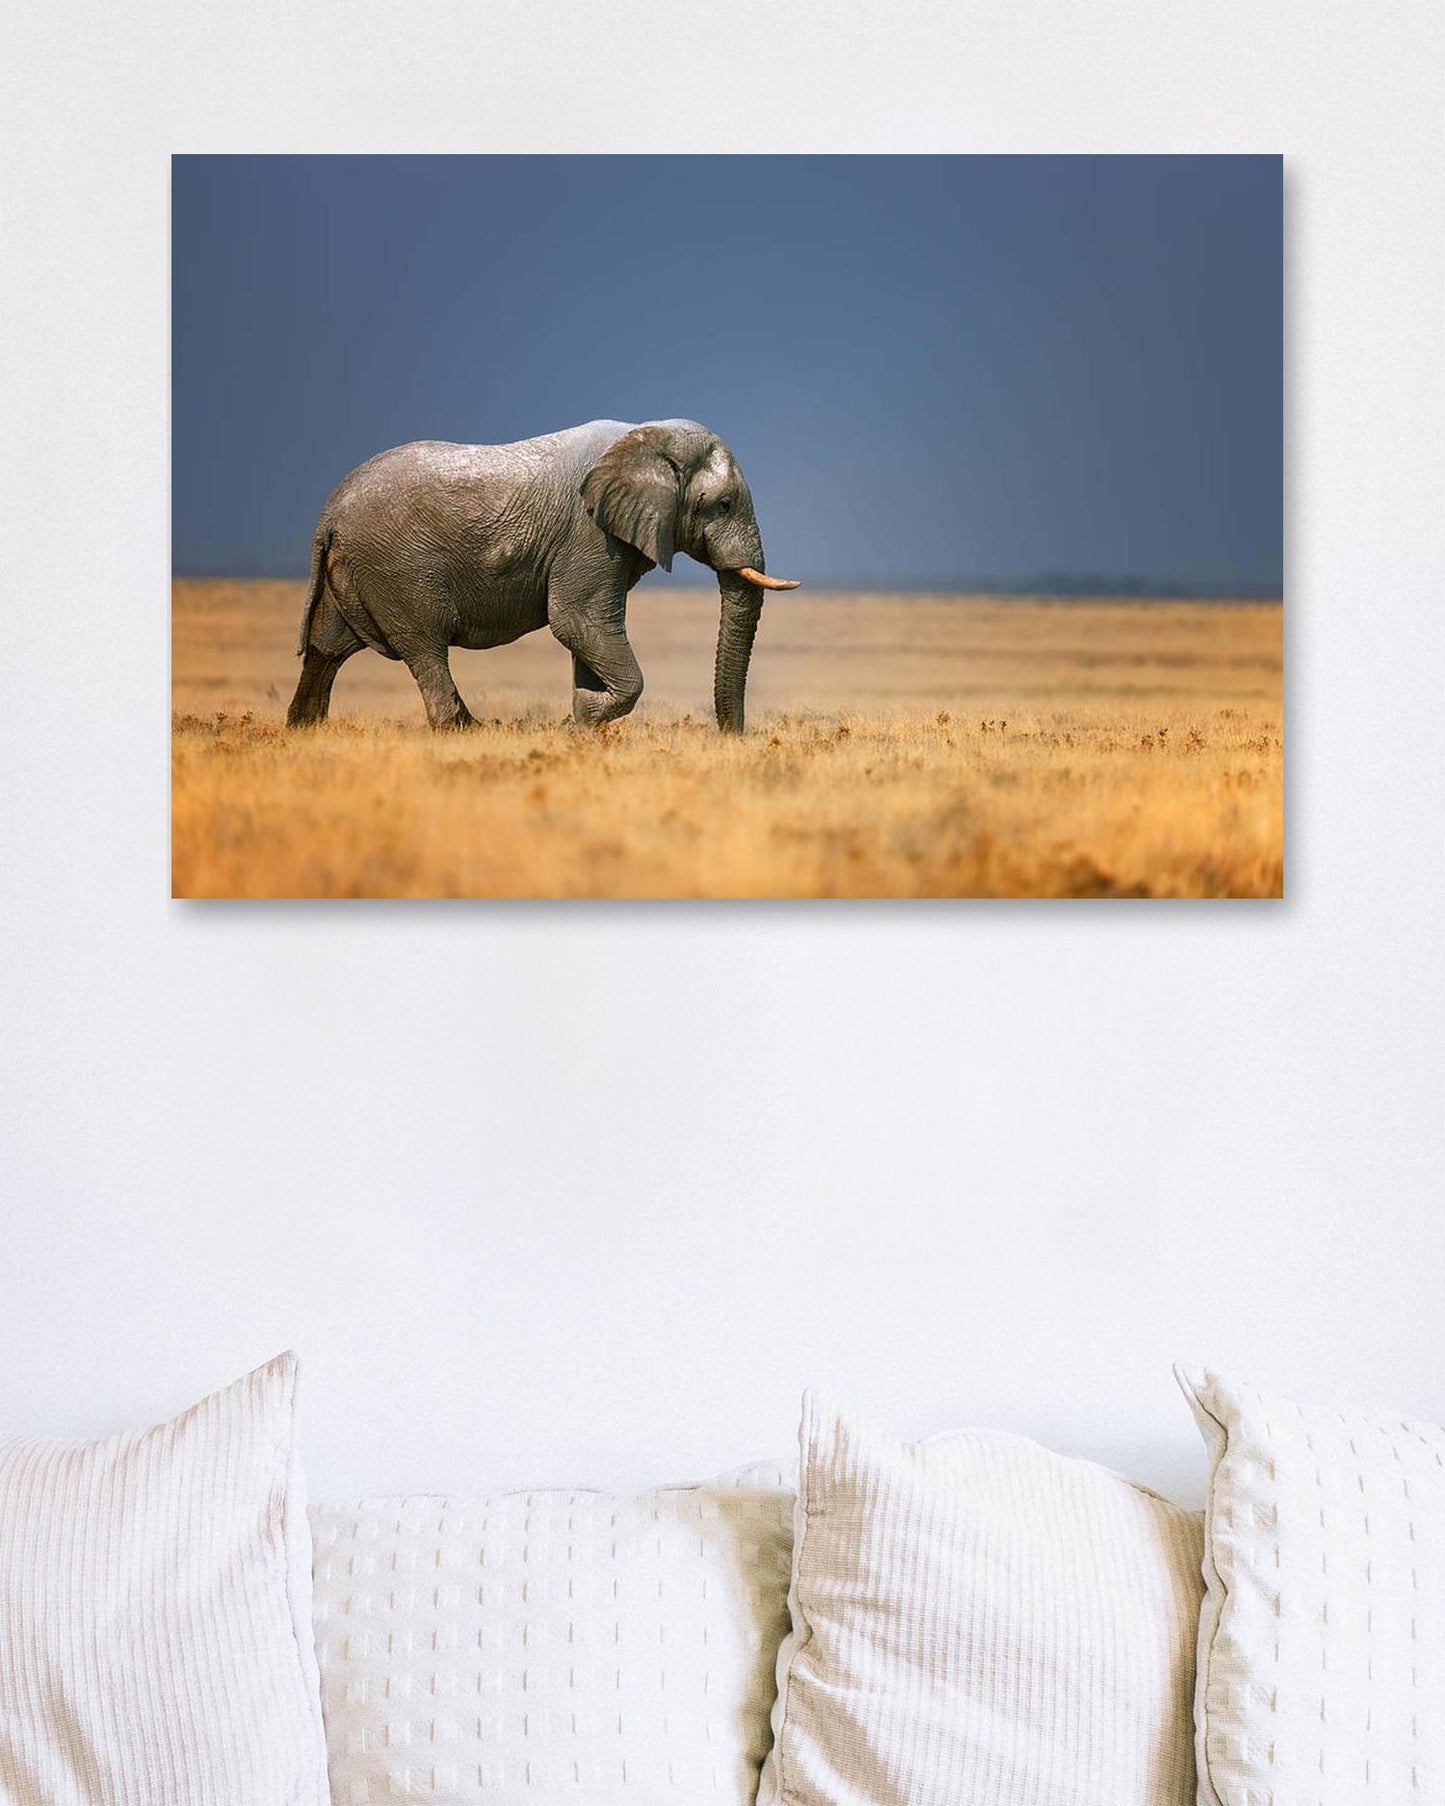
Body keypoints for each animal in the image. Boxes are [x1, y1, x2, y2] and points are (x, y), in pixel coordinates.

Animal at [286, 419, 799, 735]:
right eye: (724, 505)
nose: (731, 738)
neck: (648, 437)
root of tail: (329, 514)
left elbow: (587, 631)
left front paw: (582, 720)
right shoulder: (588, 533)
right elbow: (576, 621)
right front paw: (583, 717)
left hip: (356, 569)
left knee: (328, 647)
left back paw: (304, 730)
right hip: (398, 568)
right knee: (425, 645)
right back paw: (464, 731)